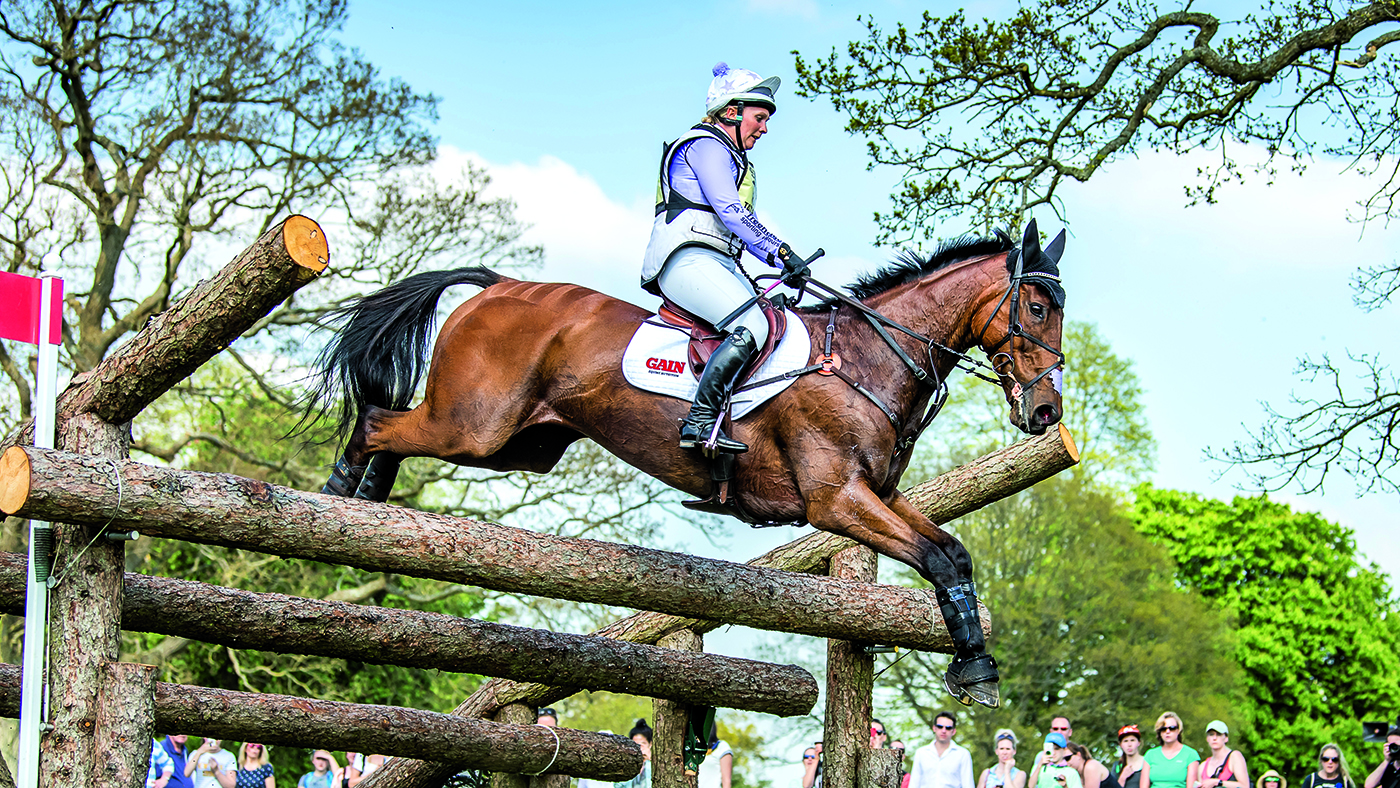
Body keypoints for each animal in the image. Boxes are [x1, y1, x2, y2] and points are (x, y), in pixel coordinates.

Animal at [304, 220, 1067, 708]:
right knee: (378, 421)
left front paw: (976, 663)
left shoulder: (879, 493)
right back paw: (342, 495)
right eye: (1035, 307)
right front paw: (977, 669)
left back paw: (365, 501)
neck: (868, 356)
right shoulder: (837, 501)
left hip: (522, 443)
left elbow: (954, 555)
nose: (1046, 413)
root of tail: (499, 285)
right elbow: (936, 558)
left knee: (394, 430)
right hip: (473, 425)